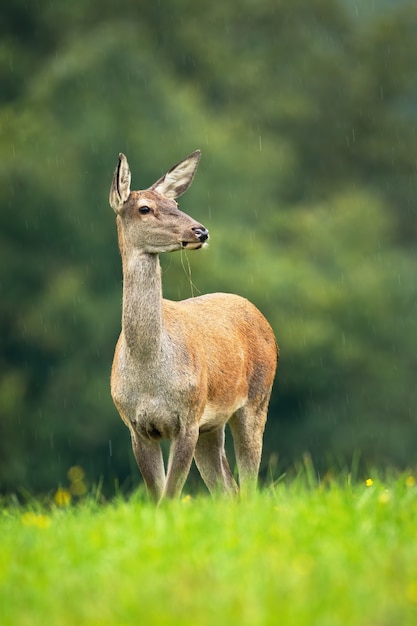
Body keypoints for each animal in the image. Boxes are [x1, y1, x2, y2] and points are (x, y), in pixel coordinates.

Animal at [109, 150, 278, 502]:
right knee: (228, 487)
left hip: (257, 399)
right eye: (145, 208)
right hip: (211, 425)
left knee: (249, 483)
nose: (200, 231)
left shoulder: (187, 418)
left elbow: (171, 495)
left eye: (174, 203)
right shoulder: (136, 426)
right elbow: (158, 496)